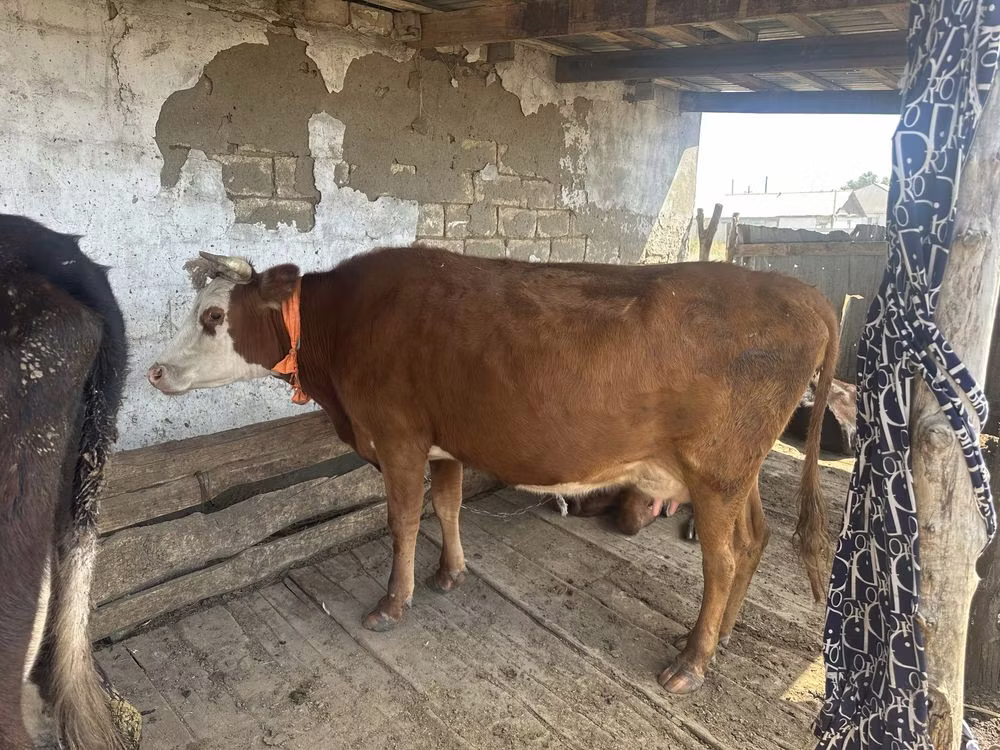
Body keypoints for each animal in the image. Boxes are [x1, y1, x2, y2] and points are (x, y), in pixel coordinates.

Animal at [147, 246, 838, 695]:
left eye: (213, 316)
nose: (153, 371)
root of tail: (800, 291)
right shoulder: (445, 443)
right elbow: (446, 506)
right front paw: (449, 573)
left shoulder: (397, 437)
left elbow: (402, 521)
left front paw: (392, 603)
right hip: (736, 472)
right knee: (755, 540)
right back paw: (723, 638)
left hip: (716, 469)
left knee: (721, 558)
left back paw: (692, 661)